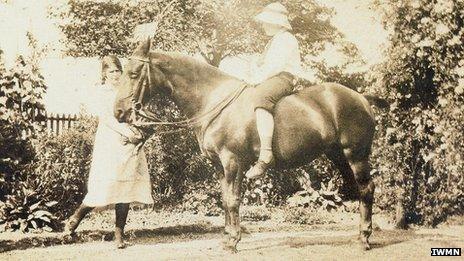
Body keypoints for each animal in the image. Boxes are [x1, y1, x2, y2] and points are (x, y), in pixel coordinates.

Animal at [114, 40, 386, 250]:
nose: (118, 112)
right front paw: (227, 237)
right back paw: (360, 235)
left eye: (134, 74)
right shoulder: (219, 166)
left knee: (367, 189)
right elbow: (225, 199)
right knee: (356, 190)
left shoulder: (233, 162)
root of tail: (361, 97)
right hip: (337, 156)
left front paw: (233, 241)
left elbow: (233, 200)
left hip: (356, 155)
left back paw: (365, 239)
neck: (213, 100)